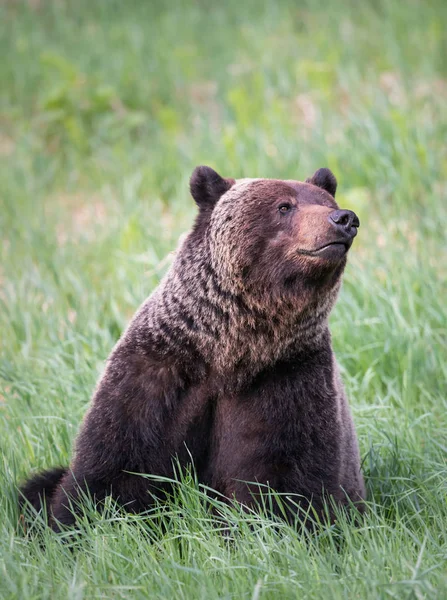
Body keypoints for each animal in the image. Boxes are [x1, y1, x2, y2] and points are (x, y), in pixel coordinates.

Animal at [19, 164, 366, 528]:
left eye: (326, 201)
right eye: (284, 206)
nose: (344, 218)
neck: (232, 353)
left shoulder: (287, 378)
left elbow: (285, 476)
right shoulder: (157, 373)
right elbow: (115, 464)